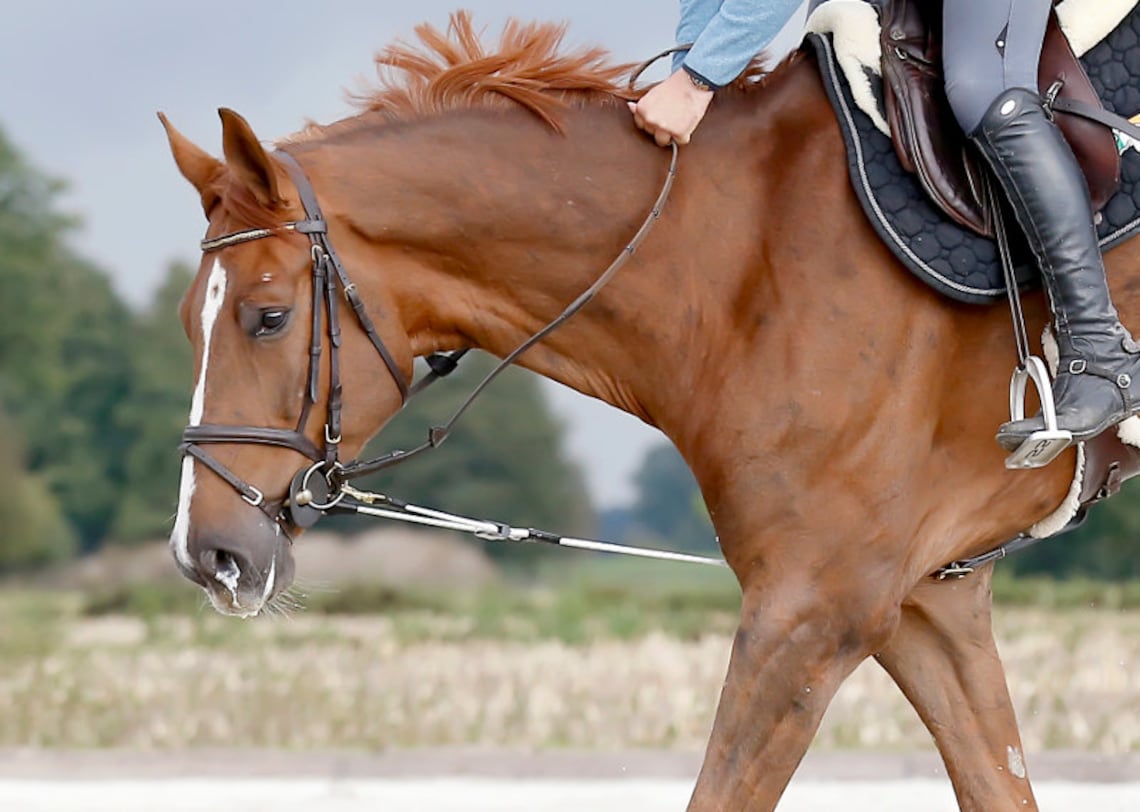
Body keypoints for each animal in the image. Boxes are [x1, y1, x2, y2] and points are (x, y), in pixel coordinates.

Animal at [161, 12, 1135, 811]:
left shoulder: (814, 606)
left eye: (268, 317)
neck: (741, 251)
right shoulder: (931, 602)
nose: (206, 555)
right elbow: (994, 778)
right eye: (183, 321)